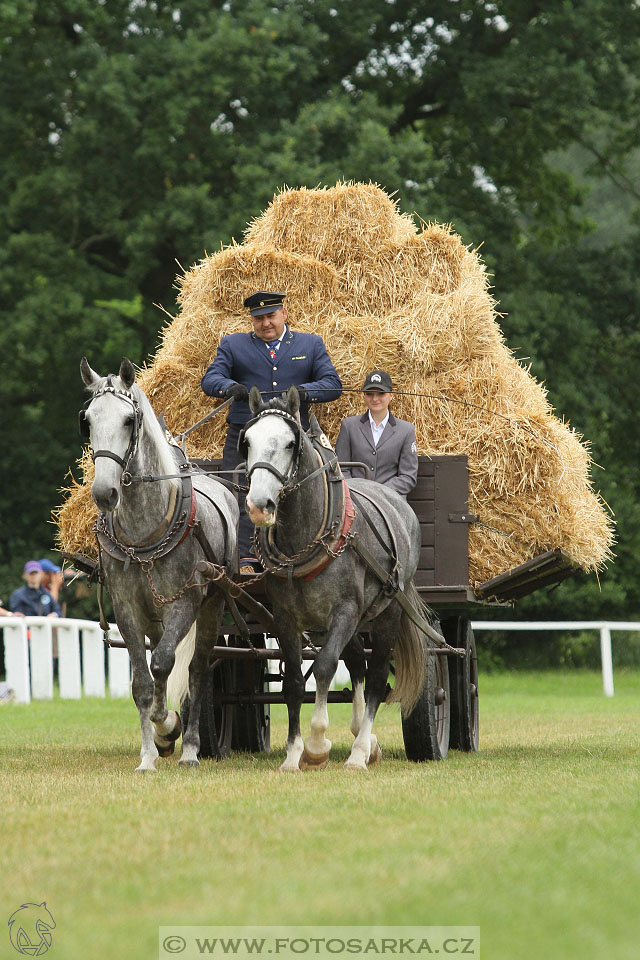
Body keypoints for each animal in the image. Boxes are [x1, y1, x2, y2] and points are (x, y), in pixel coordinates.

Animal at [79, 360, 239, 772]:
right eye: (88, 420)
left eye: (128, 420)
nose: (104, 493)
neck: (144, 535)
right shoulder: (127, 608)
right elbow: (142, 682)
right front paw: (150, 753)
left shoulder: (184, 603)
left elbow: (166, 664)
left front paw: (168, 727)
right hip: (155, 615)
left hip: (212, 604)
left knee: (198, 670)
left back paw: (191, 750)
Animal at [242, 386, 428, 768]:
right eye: (248, 441)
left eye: (290, 444)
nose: (259, 505)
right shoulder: (286, 618)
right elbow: (294, 682)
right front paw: (293, 754)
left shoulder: (344, 611)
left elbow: (326, 667)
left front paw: (316, 745)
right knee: (357, 663)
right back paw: (362, 737)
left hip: (387, 611)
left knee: (375, 677)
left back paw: (359, 751)